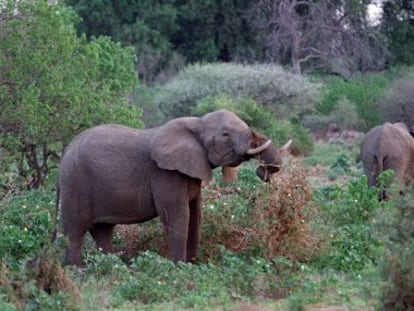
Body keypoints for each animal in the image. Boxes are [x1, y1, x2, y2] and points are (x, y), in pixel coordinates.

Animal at [53, 109, 286, 266]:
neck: (197, 123)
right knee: (74, 232)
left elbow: (195, 216)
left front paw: (190, 265)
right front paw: (177, 268)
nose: (263, 171)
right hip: (75, 184)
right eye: (226, 135)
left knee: (102, 231)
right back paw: (77, 271)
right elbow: (178, 216)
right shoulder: (166, 175)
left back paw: (113, 268)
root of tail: (64, 153)